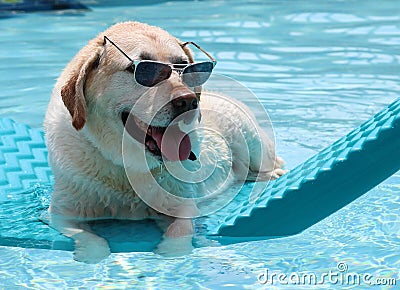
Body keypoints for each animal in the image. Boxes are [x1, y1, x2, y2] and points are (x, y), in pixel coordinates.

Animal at [43, 21, 286, 264]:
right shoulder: (61, 214)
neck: (125, 168)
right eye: (143, 70)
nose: (189, 102)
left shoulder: (183, 206)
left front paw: (171, 252)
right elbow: (88, 238)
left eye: (184, 67)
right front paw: (93, 254)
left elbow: (179, 232)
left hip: (251, 139)